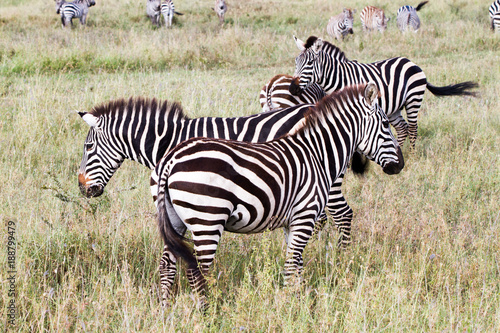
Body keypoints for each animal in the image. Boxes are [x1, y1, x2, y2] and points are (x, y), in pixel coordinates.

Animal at [154, 83, 404, 306]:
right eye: (385, 123)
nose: (400, 165)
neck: (318, 154)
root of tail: (171, 159)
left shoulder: (291, 222)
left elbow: (297, 265)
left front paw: (299, 302)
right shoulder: (305, 216)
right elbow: (292, 265)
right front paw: (288, 305)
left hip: (176, 220)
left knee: (167, 266)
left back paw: (165, 311)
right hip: (207, 220)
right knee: (197, 272)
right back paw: (207, 315)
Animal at [288, 35, 478, 148]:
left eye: (309, 63)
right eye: (296, 62)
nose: (292, 88)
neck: (339, 79)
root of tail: (412, 62)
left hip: (413, 99)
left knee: (413, 128)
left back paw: (413, 156)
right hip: (394, 107)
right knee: (402, 128)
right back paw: (400, 150)